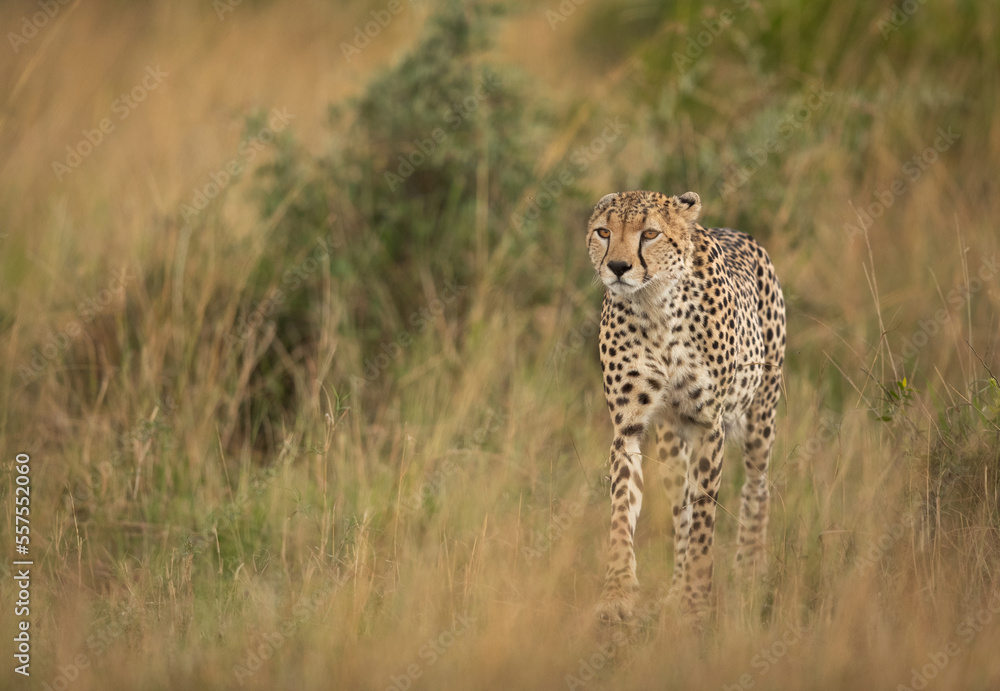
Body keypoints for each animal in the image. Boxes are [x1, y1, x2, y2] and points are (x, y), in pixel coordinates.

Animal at [586, 190, 786, 625]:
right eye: (604, 232)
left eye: (650, 234)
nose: (618, 267)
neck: (655, 303)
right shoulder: (628, 428)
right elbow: (623, 511)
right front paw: (618, 593)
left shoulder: (709, 425)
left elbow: (705, 518)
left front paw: (697, 597)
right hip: (670, 444)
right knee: (680, 507)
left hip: (761, 416)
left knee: (757, 487)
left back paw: (749, 569)